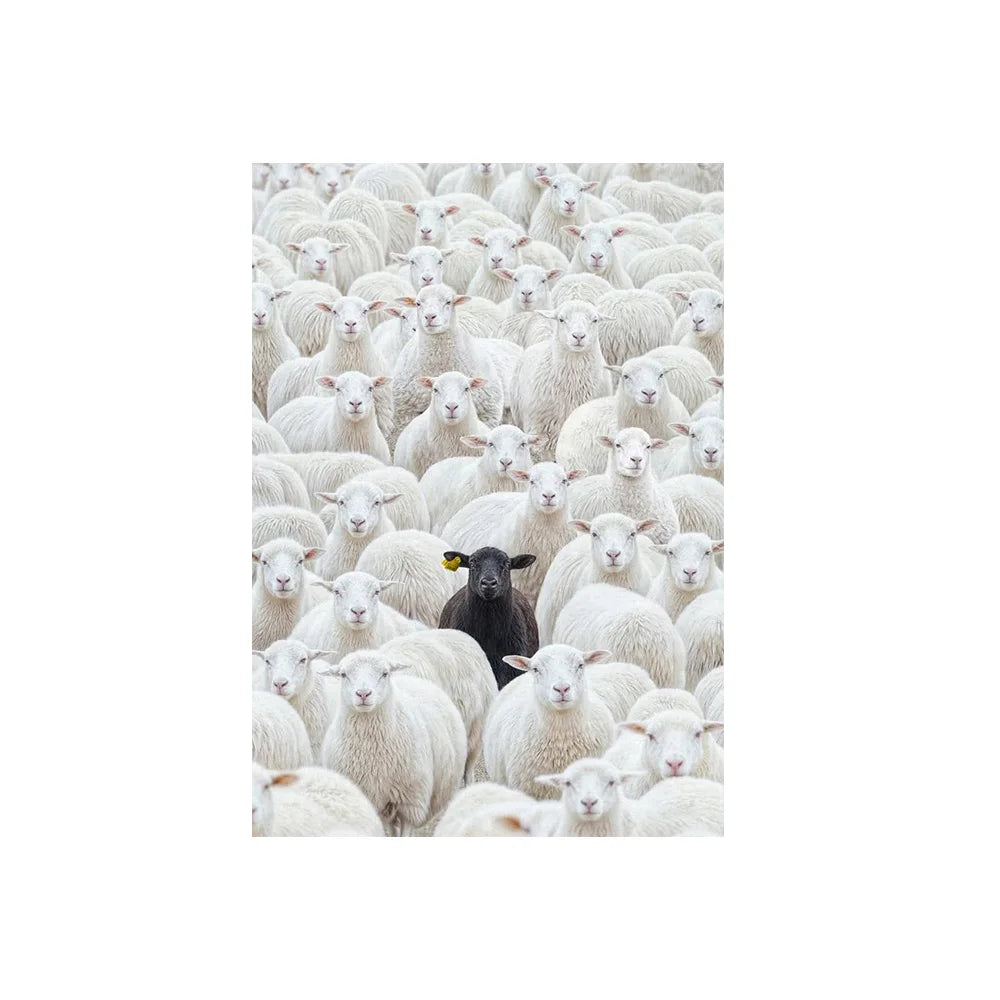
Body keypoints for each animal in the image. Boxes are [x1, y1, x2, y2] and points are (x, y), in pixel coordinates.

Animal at [319, 650, 466, 836]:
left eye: (385, 673)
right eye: (343, 674)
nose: (363, 694)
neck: (371, 748)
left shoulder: (410, 802)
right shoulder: (372, 800)